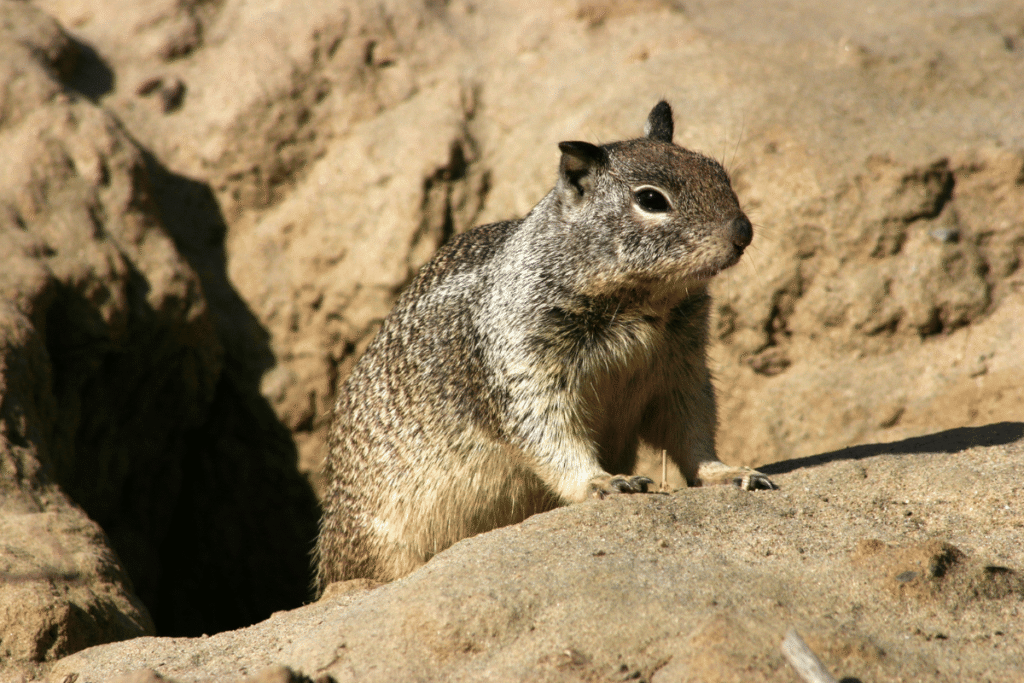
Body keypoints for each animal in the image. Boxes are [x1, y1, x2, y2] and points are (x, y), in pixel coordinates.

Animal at [315, 101, 775, 591]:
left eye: (718, 172)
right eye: (651, 200)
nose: (743, 232)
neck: (643, 303)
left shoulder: (682, 371)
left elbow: (693, 432)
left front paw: (728, 472)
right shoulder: (525, 365)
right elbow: (550, 434)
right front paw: (605, 482)